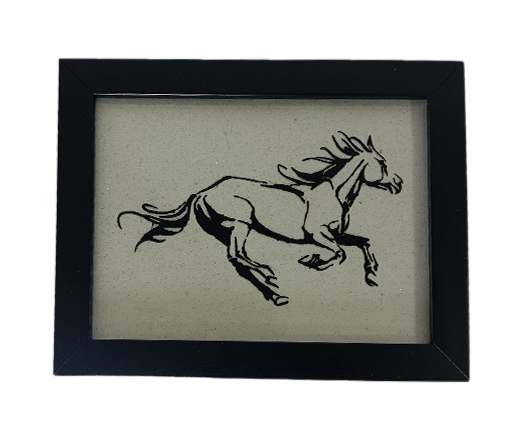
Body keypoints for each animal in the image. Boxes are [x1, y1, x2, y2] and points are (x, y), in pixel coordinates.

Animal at [117, 131, 403, 306]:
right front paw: (311, 261)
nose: (399, 184)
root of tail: (202, 193)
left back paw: (276, 295)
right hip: (240, 224)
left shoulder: (336, 234)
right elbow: (340, 254)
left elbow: (363, 241)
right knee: (237, 255)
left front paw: (372, 276)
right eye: (382, 163)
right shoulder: (318, 234)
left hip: (226, 230)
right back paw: (269, 275)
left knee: (238, 261)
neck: (336, 194)